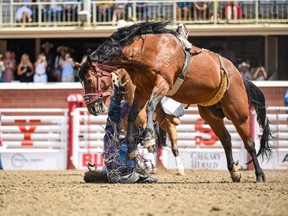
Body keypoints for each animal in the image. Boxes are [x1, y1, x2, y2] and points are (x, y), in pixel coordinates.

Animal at [78, 20, 272, 182]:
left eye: (89, 80)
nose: (92, 107)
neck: (147, 51)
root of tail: (238, 74)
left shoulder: (162, 84)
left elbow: (149, 108)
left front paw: (148, 139)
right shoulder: (143, 90)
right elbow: (133, 114)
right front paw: (133, 148)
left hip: (238, 112)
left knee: (249, 143)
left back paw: (260, 175)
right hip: (211, 114)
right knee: (226, 139)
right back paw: (234, 172)